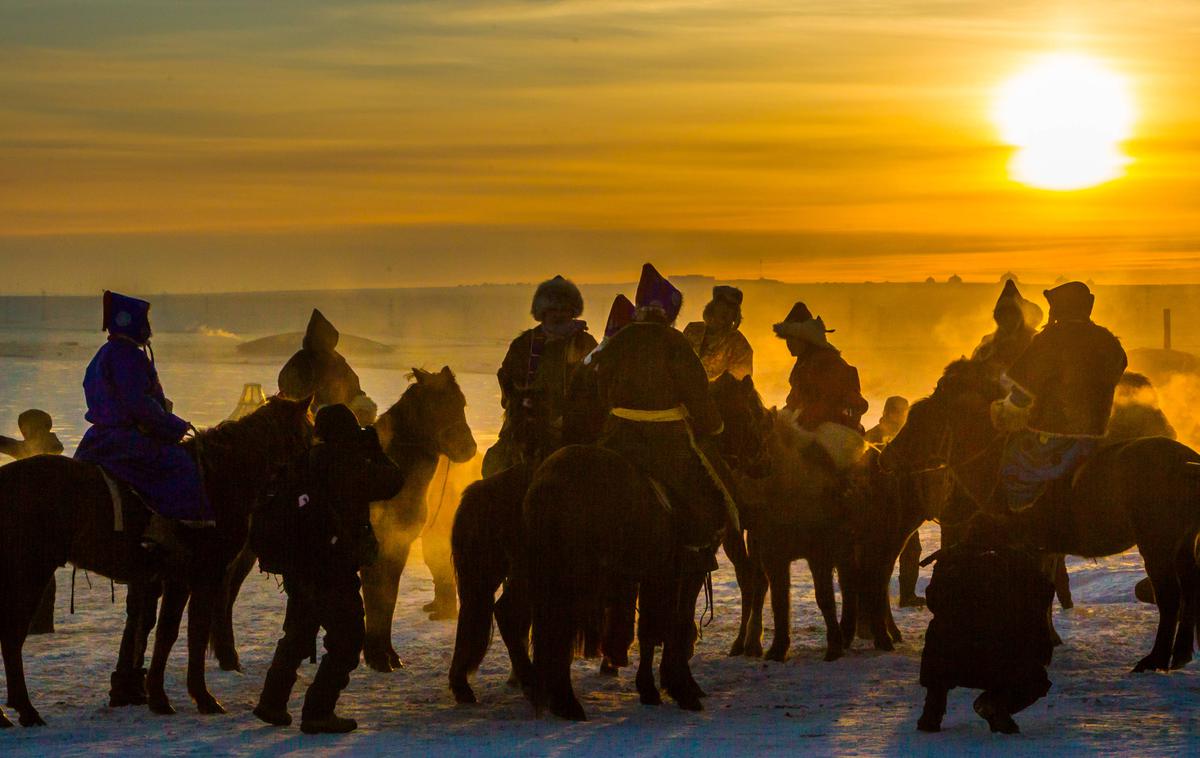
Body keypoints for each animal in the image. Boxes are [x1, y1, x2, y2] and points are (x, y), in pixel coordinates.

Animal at [0, 393, 314, 724]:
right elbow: (195, 633)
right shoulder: (206, 576)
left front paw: (159, 698)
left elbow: (167, 633)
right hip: (30, 572)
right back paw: (26, 710)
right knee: (12, 636)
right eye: (307, 436)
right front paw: (203, 698)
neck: (219, 478)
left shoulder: (177, 580)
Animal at [878, 357, 1200, 671]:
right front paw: (1049, 639)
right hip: (1183, 545)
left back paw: (1155, 659)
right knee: (1189, 590)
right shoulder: (1044, 549)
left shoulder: (1025, 547)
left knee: (1170, 596)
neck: (996, 466)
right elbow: (1046, 594)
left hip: (1157, 544)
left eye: (919, 422)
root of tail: (1188, 461)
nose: (886, 457)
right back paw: (1181, 655)